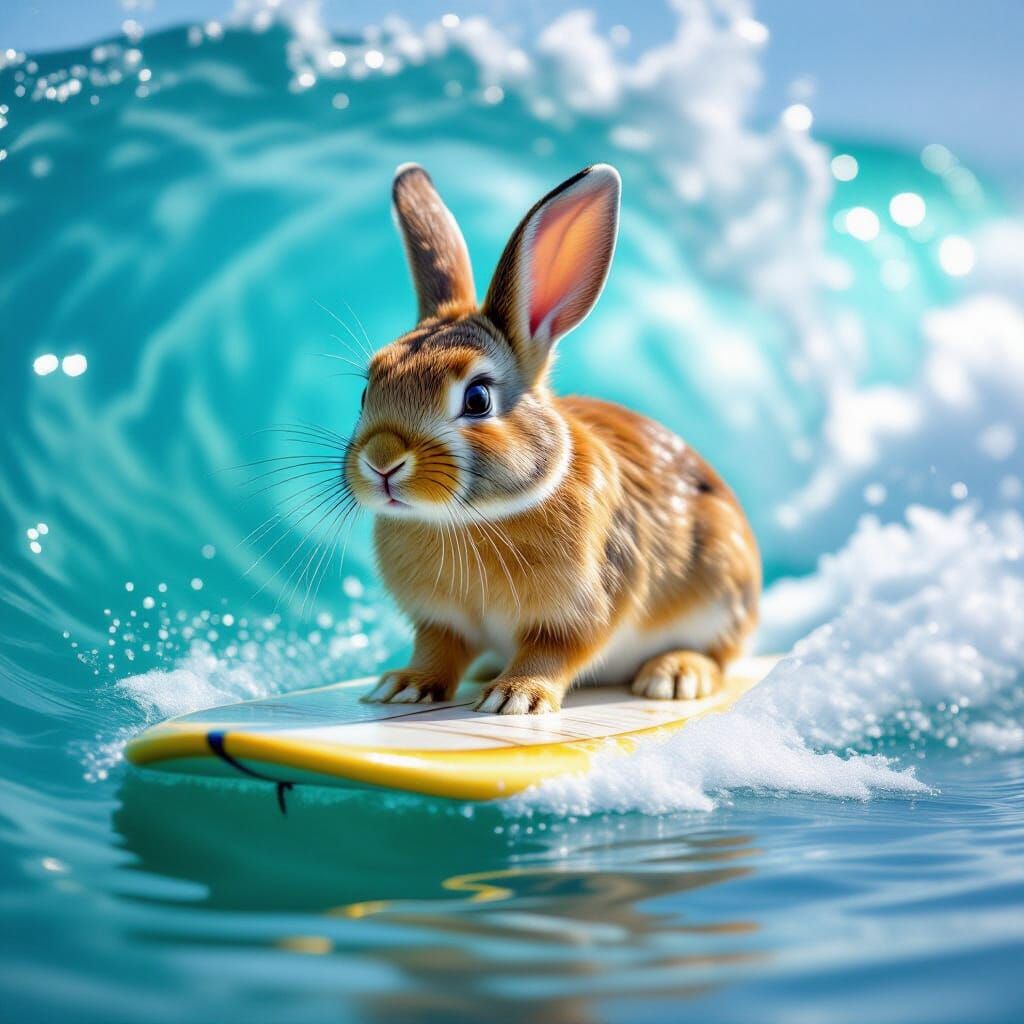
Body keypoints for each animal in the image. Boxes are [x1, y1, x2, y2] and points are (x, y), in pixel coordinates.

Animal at [345, 162, 760, 714]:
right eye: (367, 389)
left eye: (477, 399)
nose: (382, 460)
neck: (471, 520)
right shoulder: (441, 621)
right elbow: (437, 650)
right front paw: (403, 686)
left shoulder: (581, 610)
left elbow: (553, 652)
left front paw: (513, 698)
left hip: (720, 590)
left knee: (718, 653)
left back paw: (674, 676)